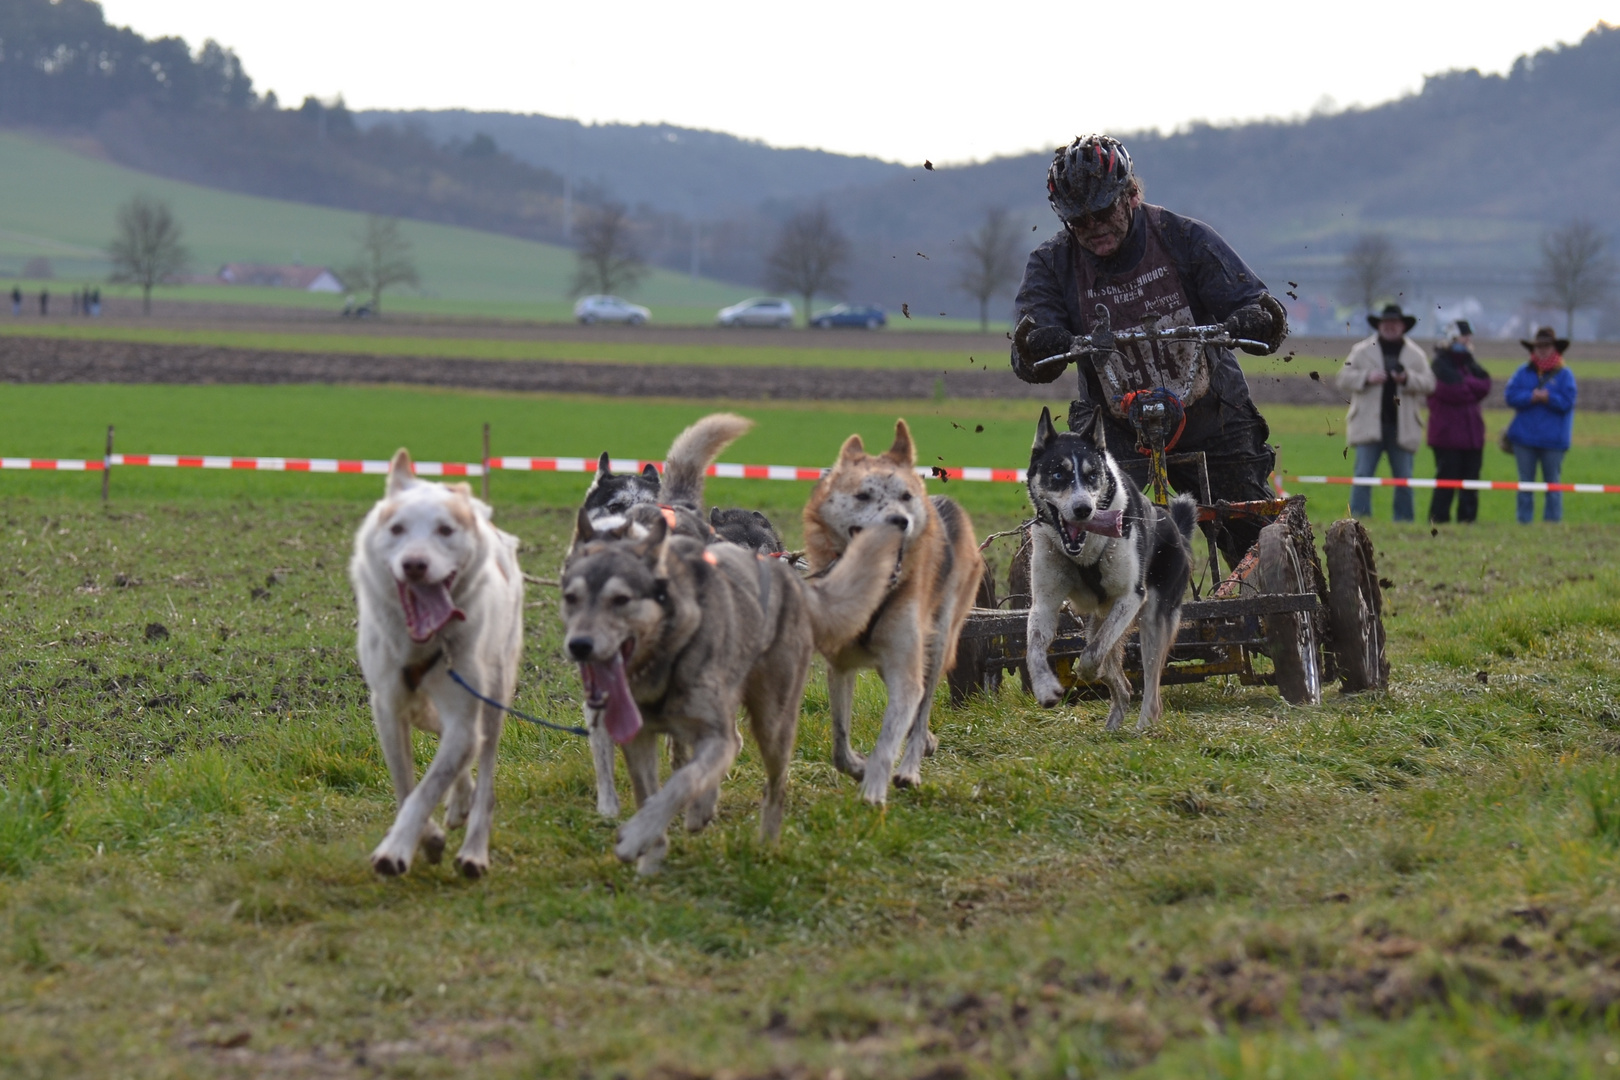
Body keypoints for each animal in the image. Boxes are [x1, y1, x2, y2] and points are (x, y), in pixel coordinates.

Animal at [349, 446, 521, 880]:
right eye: (397, 529)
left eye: (445, 530)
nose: (414, 564)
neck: (421, 643)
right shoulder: (388, 708)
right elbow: (405, 786)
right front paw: (426, 839)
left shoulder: (464, 712)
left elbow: (426, 789)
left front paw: (395, 849)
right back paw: (460, 803)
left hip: (494, 696)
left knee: (485, 772)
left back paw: (474, 850)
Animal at [803, 420, 978, 803]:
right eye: (863, 496)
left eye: (905, 496)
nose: (899, 520)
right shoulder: (841, 665)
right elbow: (839, 744)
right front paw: (858, 767)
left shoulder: (907, 670)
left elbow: (888, 740)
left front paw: (872, 790)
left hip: (936, 644)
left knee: (922, 712)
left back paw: (910, 768)